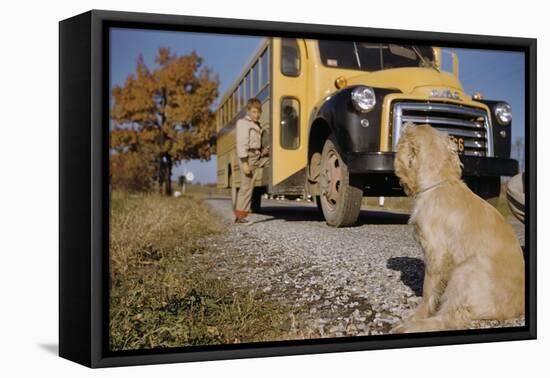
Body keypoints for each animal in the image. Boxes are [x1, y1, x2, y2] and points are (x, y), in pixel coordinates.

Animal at [392, 122, 528, 332]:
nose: (407, 123)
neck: (439, 182)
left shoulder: (436, 253)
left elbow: (428, 289)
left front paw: (417, 314)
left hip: (464, 271)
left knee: (451, 318)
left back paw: (409, 326)